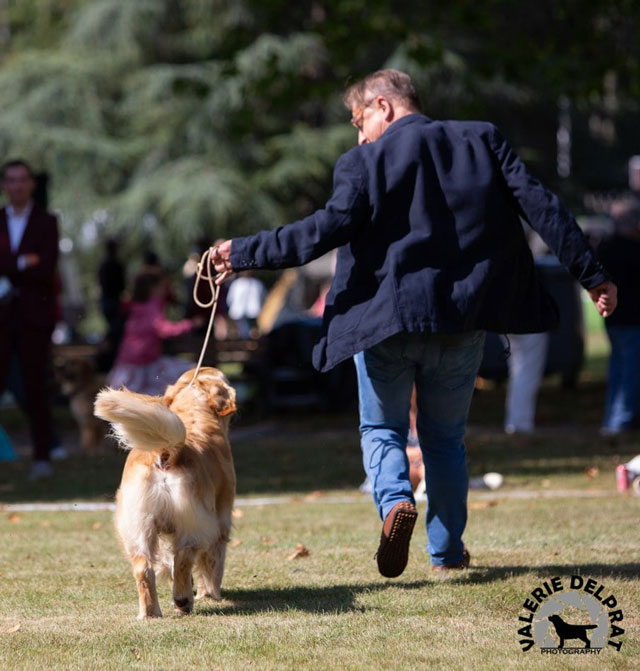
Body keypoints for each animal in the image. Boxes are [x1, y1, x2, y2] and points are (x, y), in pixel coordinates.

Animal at [94, 368, 236, 620]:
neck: (195, 414)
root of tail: (166, 451)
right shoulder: (221, 520)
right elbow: (212, 564)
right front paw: (211, 594)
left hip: (137, 527)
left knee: (144, 569)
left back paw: (150, 612)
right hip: (196, 524)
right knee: (183, 560)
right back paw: (183, 600)